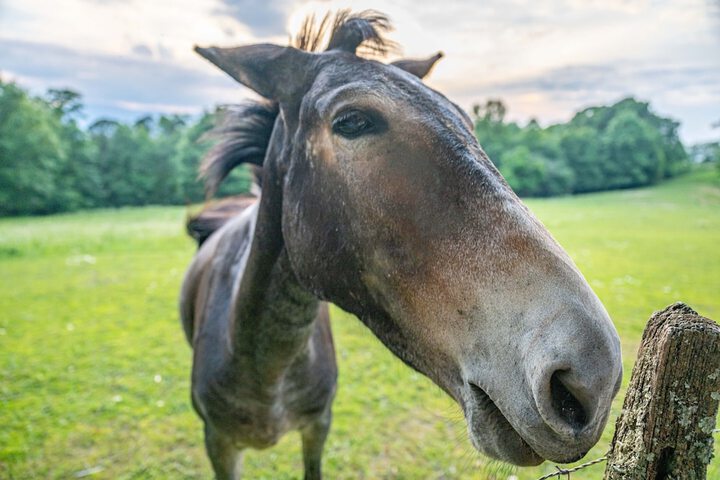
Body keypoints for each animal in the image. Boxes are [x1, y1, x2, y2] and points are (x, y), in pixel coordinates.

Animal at [181, 9, 624, 478]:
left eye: (467, 121)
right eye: (352, 120)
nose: (595, 376)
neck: (267, 364)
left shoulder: (317, 429)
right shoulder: (220, 445)